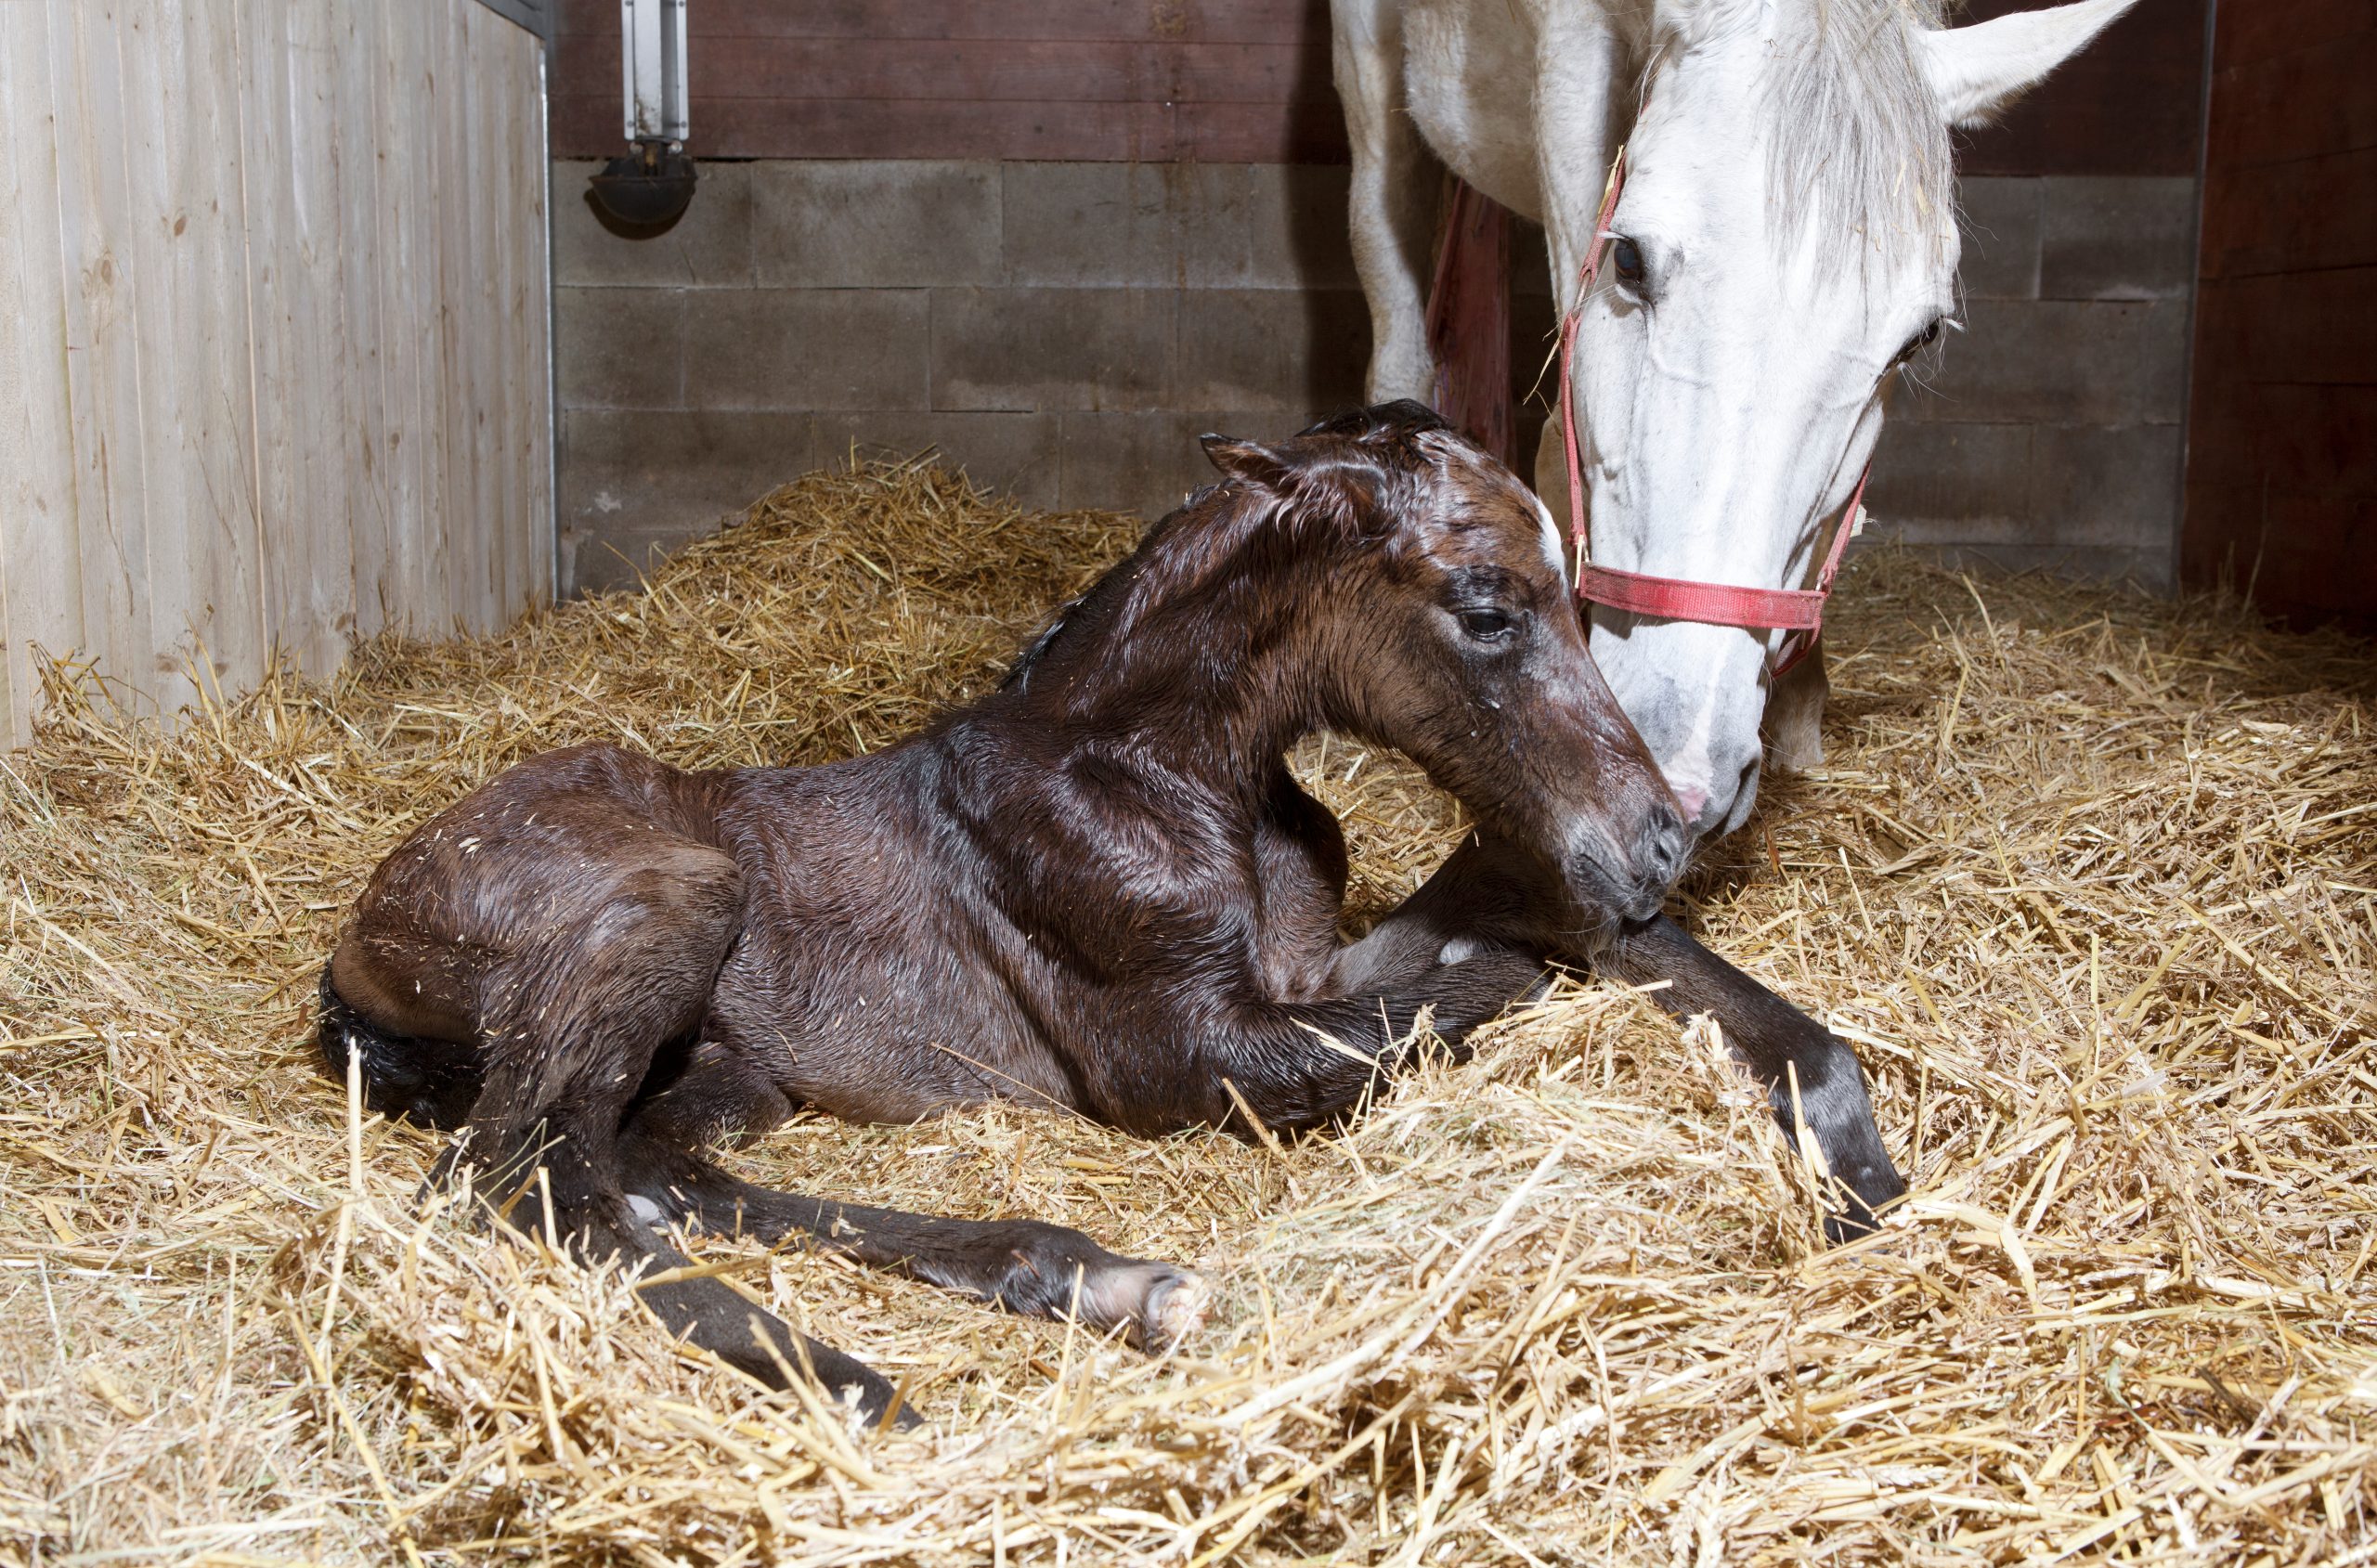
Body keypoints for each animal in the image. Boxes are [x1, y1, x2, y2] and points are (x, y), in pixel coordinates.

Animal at [325, 406, 1902, 1425]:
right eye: (1486, 606)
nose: (1659, 838)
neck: (1156, 773)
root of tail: (355, 940)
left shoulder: (1305, 965)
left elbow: (1512, 939)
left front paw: (1858, 1168)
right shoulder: (1182, 1052)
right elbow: (1452, 1002)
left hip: (729, 1070)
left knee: (647, 1170)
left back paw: (1093, 1282)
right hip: (671, 900)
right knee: (506, 1180)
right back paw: (856, 1377)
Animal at [1340, 0, 2139, 840]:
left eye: (1918, 339)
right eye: (1627, 260)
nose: (1683, 777)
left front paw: (1799, 714)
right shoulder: (1571, 72)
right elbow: (1562, 449)